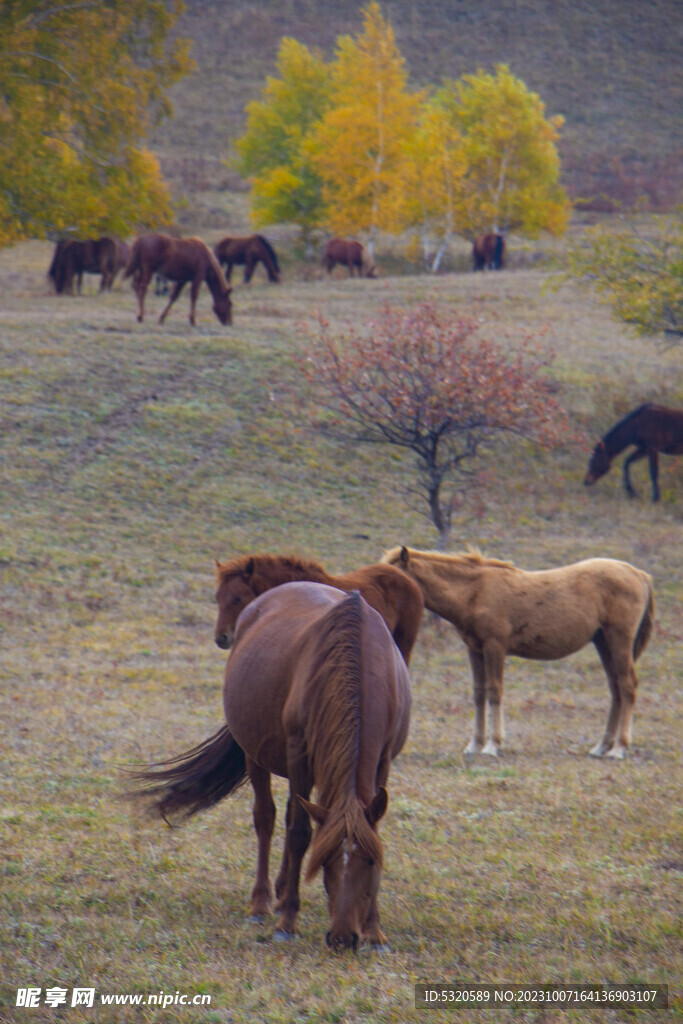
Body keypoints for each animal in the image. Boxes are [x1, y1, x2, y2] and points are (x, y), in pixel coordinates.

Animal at [129, 585, 411, 950]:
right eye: (325, 861)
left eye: (370, 861)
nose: (342, 938)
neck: (358, 664)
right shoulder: (299, 754)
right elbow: (299, 833)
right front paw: (287, 920)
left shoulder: (383, 760)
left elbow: (370, 830)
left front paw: (375, 930)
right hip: (257, 755)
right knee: (268, 817)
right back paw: (262, 904)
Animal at [382, 544, 655, 761]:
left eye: (393, 574)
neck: (474, 592)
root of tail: (638, 574)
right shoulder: (475, 650)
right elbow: (479, 694)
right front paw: (474, 745)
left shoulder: (495, 647)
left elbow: (494, 692)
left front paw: (492, 745)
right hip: (603, 643)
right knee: (616, 688)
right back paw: (601, 746)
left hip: (619, 640)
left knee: (627, 686)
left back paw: (619, 749)